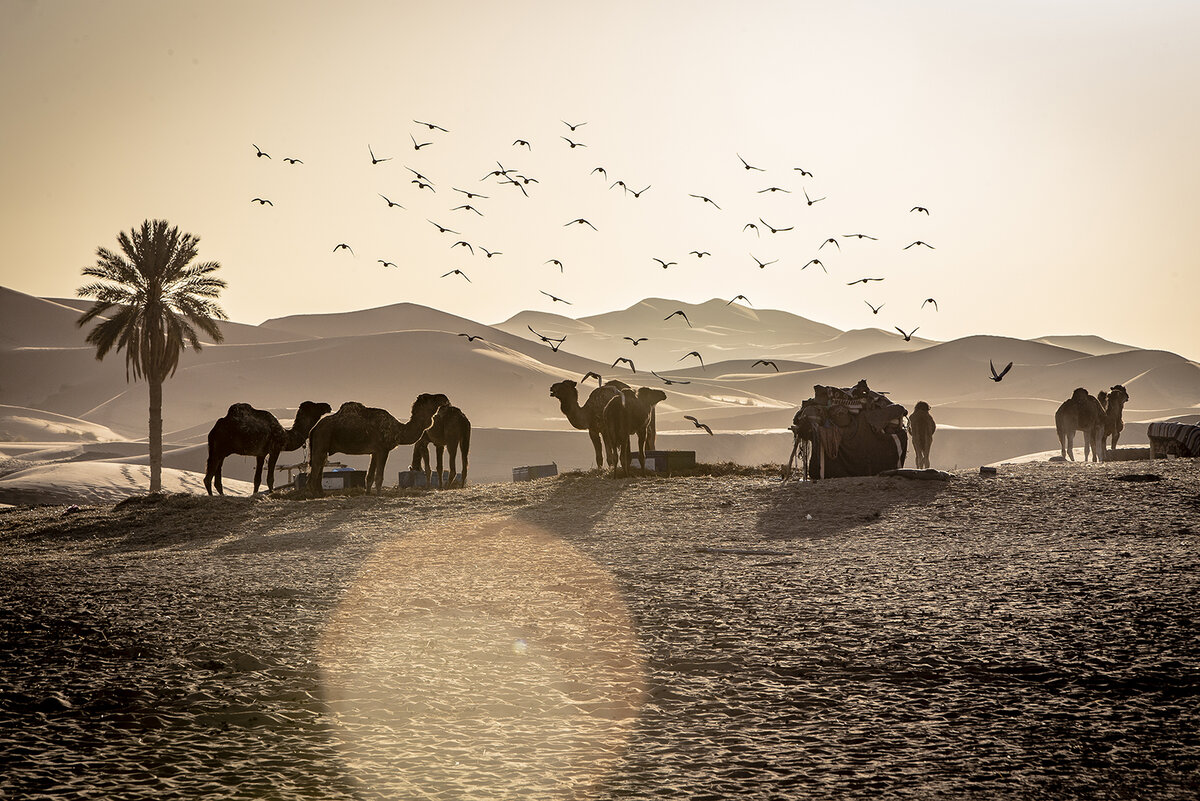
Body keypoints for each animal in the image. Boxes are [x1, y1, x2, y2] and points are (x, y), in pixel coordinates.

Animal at [307, 393, 448, 494]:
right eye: (431, 398)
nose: (444, 398)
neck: (399, 430)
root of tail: (314, 429)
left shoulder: (374, 452)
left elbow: (369, 476)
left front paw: (368, 493)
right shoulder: (383, 449)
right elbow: (379, 476)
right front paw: (379, 494)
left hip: (324, 446)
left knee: (320, 468)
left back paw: (321, 494)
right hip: (322, 440)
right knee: (315, 470)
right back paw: (314, 496)